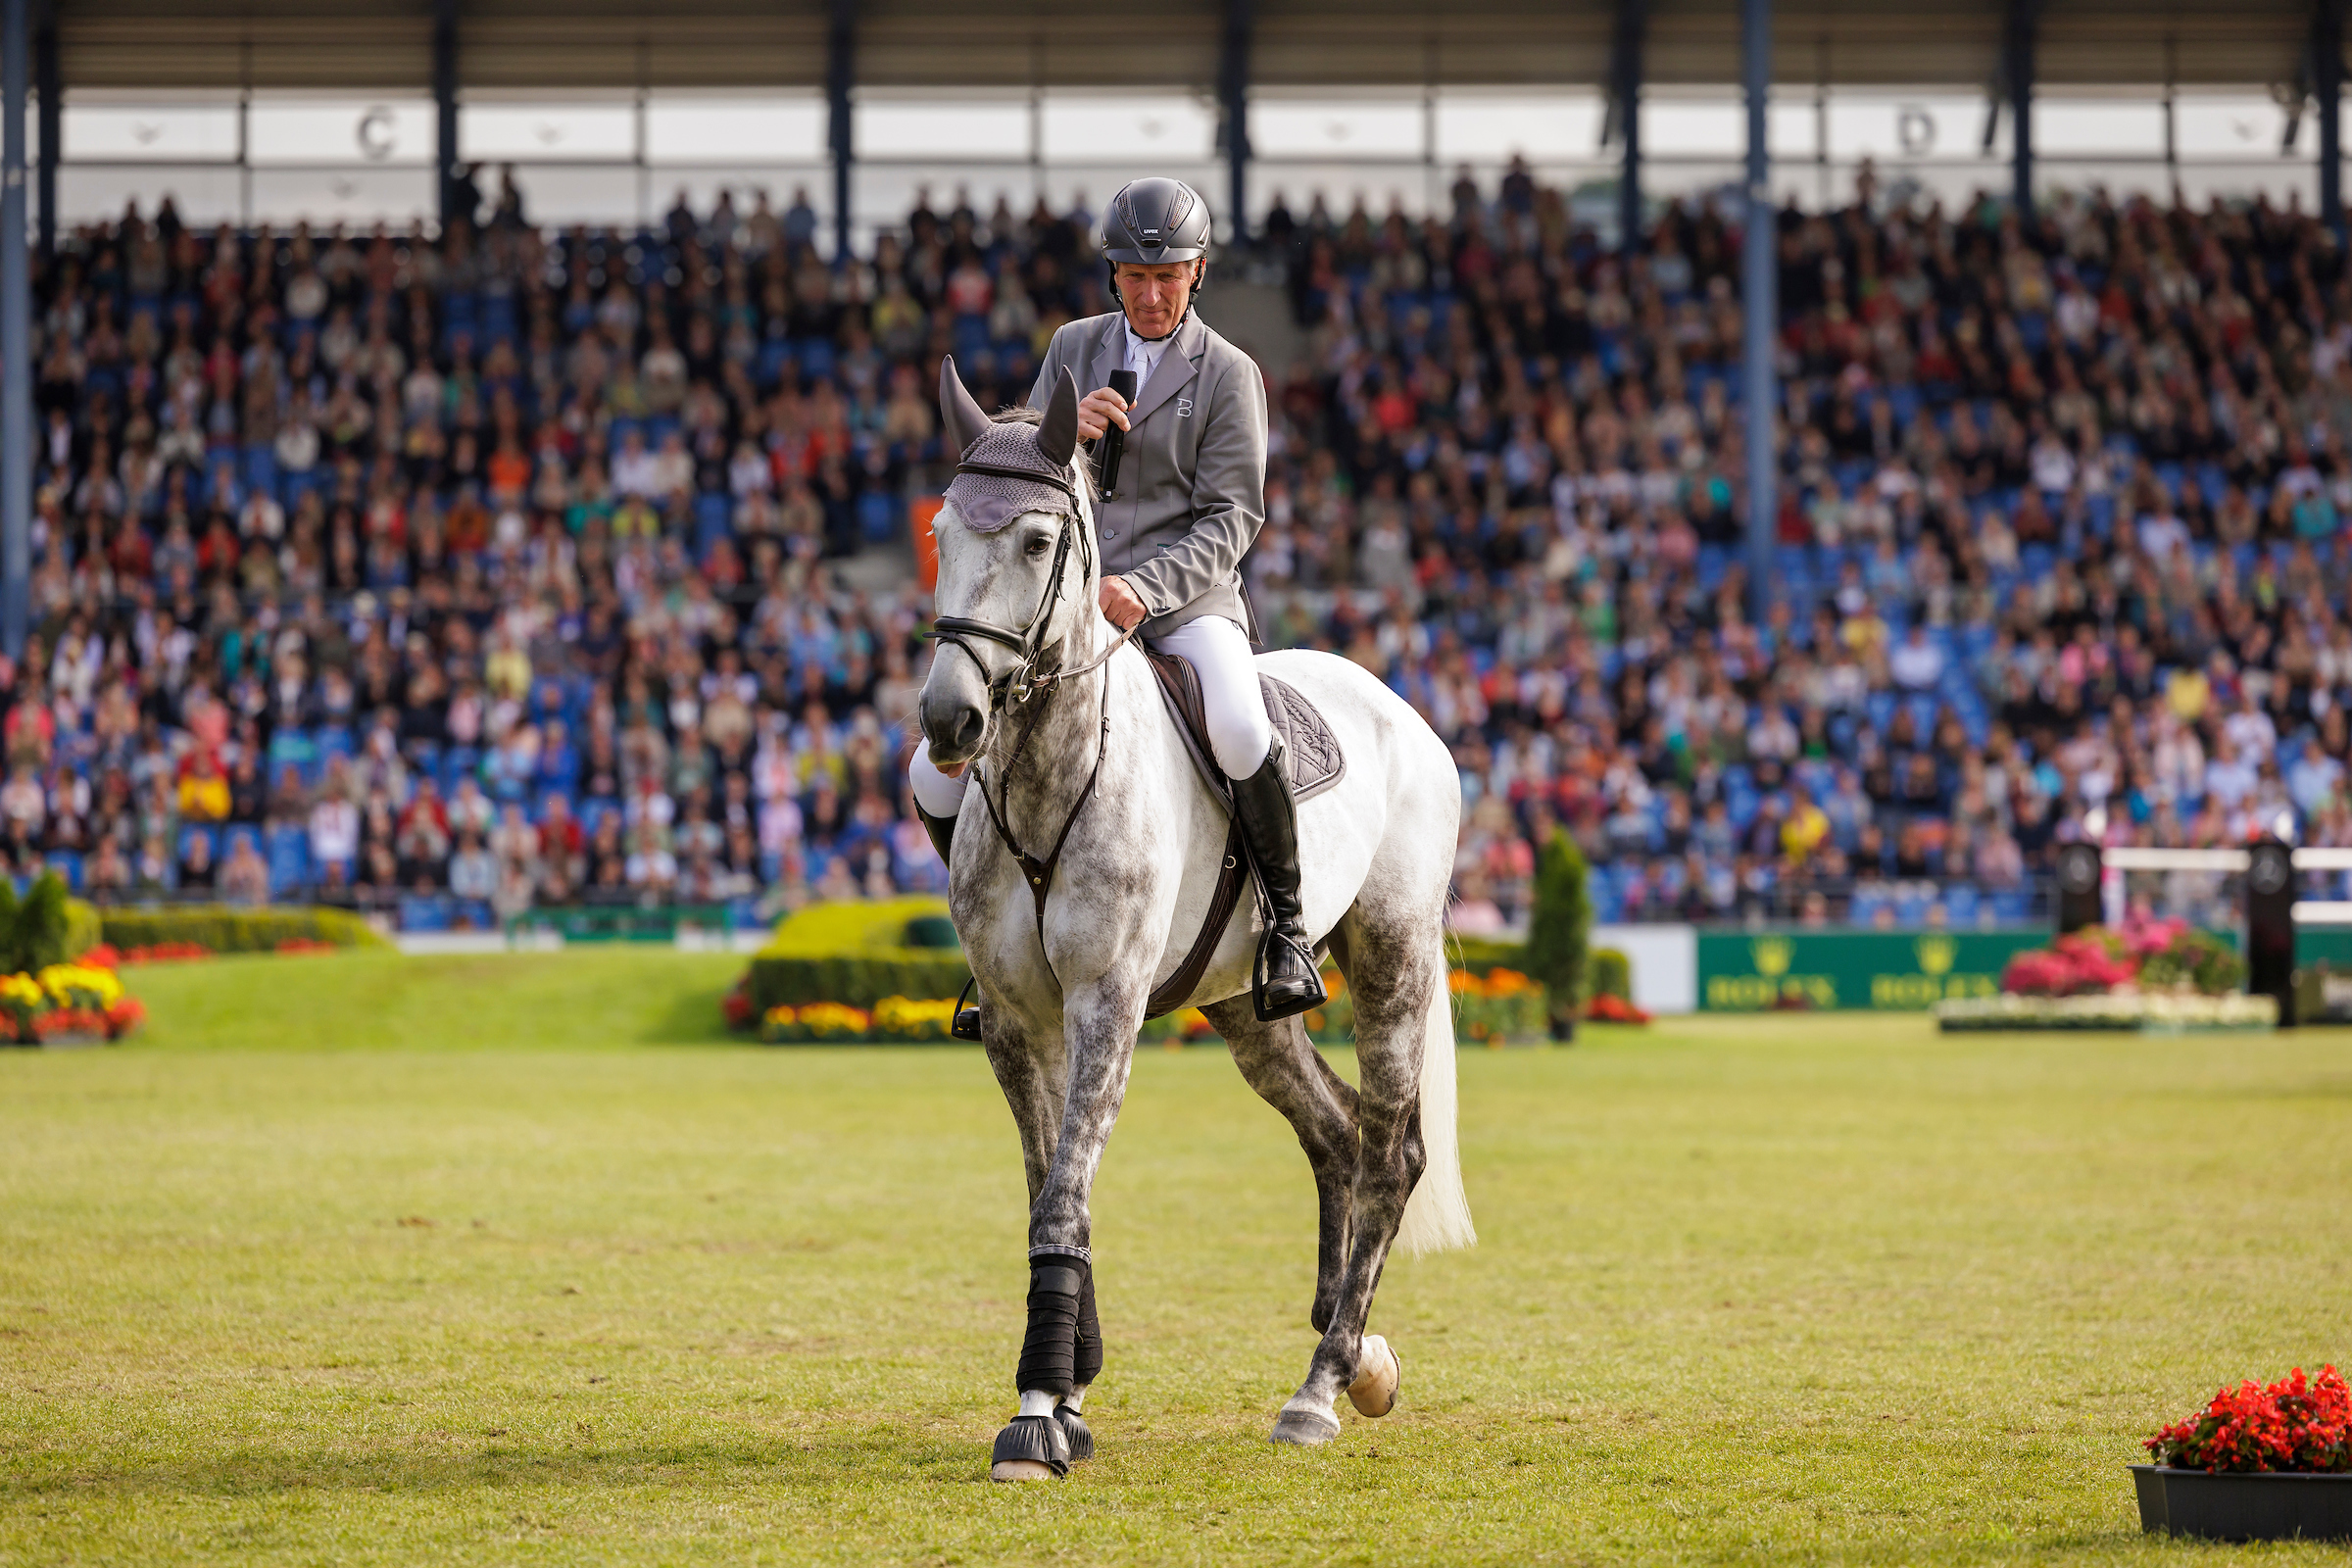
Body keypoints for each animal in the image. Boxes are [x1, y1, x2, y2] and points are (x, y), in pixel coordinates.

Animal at [917, 362, 1467, 1476]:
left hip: (1392, 956)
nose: (950, 721)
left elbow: (1065, 1190)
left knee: (1391, 1151)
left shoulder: (1107, 1002)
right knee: (1336, 1132)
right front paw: (1069, 1391)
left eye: (1035, 542)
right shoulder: (1016, 1022)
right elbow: (1051, 1190)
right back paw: (1358, 1354)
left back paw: (1323, 1386)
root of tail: (1402, 706)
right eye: (942, 532)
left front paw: (1037, 1413)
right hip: (1247, 1007)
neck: (1049, 770)